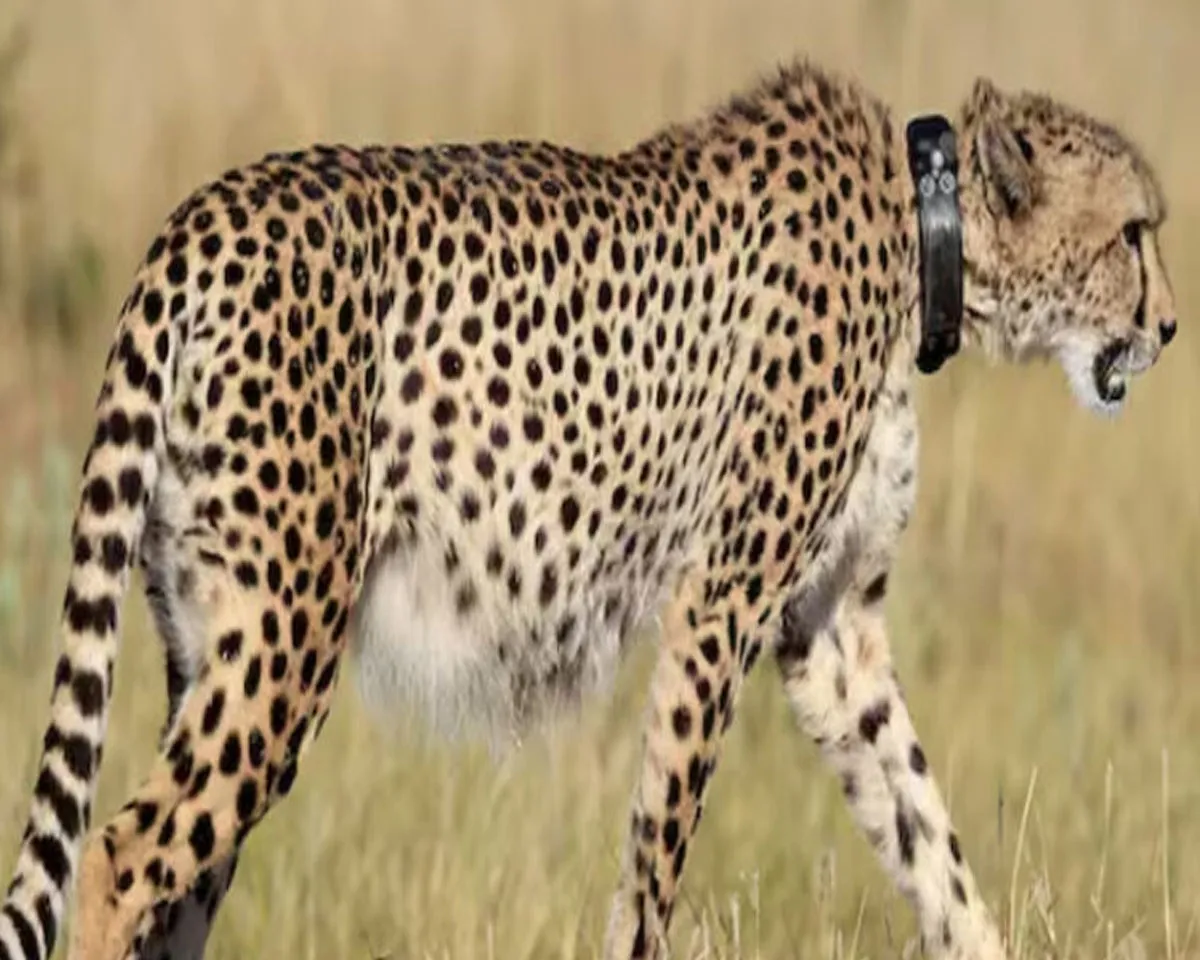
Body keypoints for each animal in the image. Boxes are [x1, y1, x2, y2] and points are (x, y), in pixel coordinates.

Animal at [0, 55, 1176, 960]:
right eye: (1134, 233)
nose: (1168, 326)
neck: (922, 226)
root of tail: (202, 217)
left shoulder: (829, 632)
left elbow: (926, 833)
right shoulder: (719, 604)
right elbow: (660, 848)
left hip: (206, 631)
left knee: (180, 876)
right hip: (285, 636)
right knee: (119, 855)